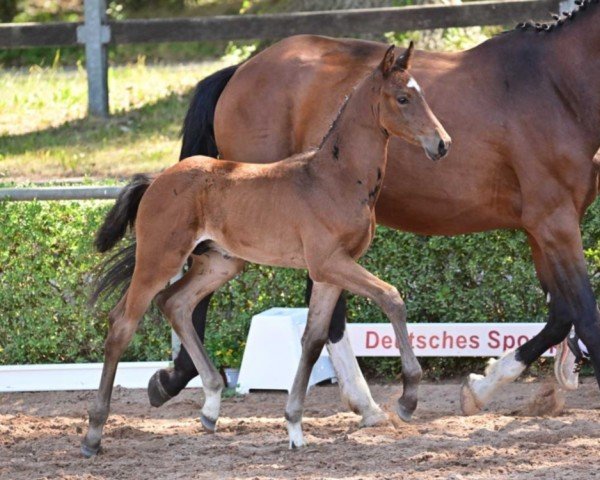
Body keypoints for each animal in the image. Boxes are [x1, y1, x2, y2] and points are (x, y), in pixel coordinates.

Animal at [83, 46, 450, 458]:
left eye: (422, 94)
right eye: (402, 98)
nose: (441, 144)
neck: (334, 178)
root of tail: (156, 180)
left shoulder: (330, 271)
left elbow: (313, 339)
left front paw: (294, 426)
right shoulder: (330, 263)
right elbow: (391, 298)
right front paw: (407, 399)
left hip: (220, 263)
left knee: (175, 303)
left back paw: (210, 406)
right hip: (159, 257)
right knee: (122, 323)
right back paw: (94, 434)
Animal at [148, 1, 600, 418]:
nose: (441, 144)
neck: (554, 87)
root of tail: (241, 70)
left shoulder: (544, 226)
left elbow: (562, 313)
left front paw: (480, 386)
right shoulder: (555, 222)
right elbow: (586, 315)